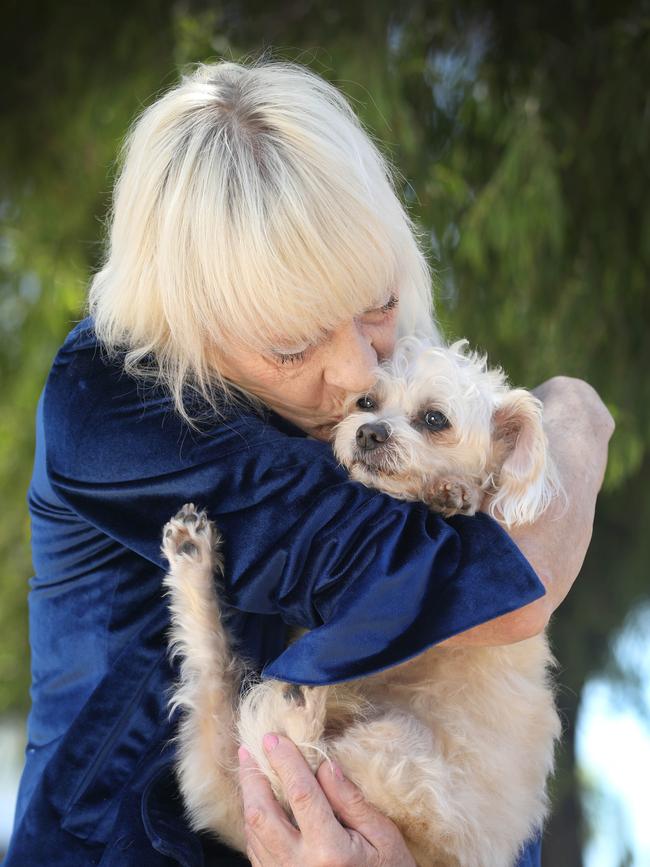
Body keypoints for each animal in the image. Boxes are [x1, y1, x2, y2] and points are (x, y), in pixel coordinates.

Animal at [159, 338, 560, 867]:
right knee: (233, 693)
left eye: (435, 419)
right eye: (366, 402)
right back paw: (195, 561)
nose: (369, 432)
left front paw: (452, 491)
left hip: (397, 755)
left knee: (298, 758)